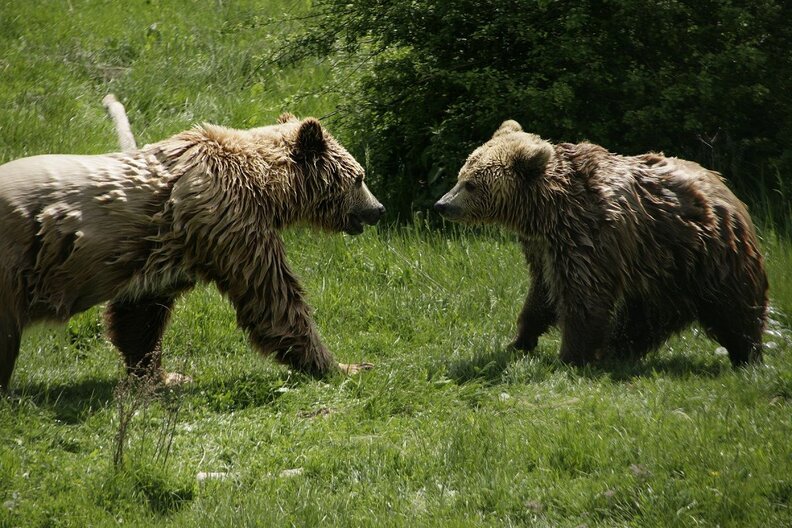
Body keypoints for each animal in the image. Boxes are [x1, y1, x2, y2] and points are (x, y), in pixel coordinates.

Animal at [0, 113, 385, 390]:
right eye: (360, 177)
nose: (378, 209)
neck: (265, 186)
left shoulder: (169, 250)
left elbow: (140, 315)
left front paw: (163, 376)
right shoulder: (231, 223)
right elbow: (272, 298)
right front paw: (344, 365)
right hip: (16, 263)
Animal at [434, 120, 768, 367]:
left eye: (471, 184)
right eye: (461, 175)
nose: (442, 204)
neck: (546, 210)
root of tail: (727, 189)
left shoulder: (587, 235)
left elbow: (583, 295)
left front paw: (571, 356)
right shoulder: (543, 248)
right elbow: (541, 293)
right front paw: (520, 340)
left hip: (709, 255)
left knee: (734, 309)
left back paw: (747, 355)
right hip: (664, 268)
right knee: (645, 316)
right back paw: (618, 349)